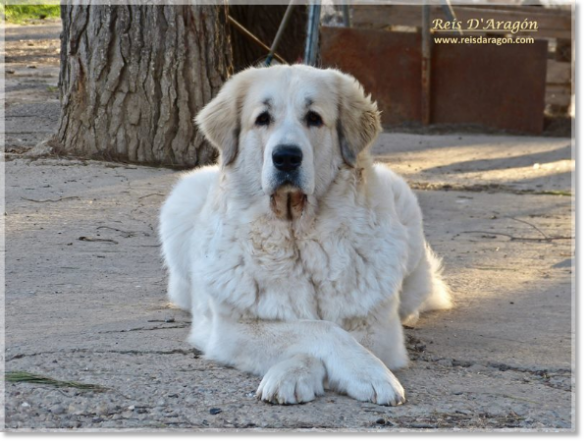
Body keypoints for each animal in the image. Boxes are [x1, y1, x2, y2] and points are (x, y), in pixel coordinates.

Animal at [157, 64, 450, 408]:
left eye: (314, 118)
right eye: (263, 119)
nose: (286, 157)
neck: (298, 236)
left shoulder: (378, 330)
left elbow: (333, 332)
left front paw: (369, 374)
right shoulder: (235, 330)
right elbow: (317, 330)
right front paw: (296, 374)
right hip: (182, 199)